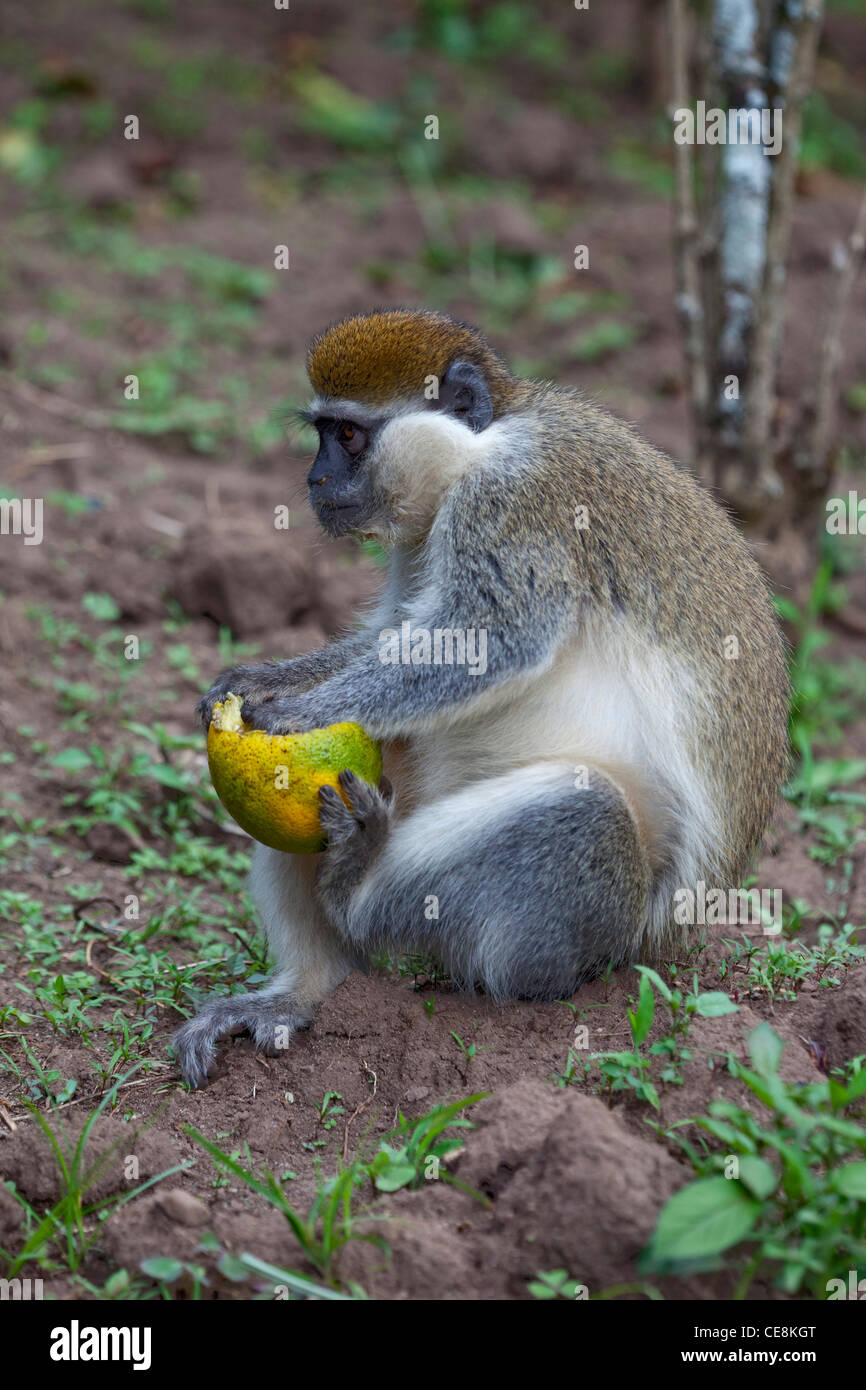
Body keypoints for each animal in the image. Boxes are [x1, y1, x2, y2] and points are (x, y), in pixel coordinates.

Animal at [172, 307, 789, 1088]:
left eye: (349, 435)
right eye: (321, 434)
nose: (315, 478)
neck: (475, 449)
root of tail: (654, 940)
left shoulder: (514, 503)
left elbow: (494, 640)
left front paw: (299, 711)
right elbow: (394, 630)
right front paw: (262, 681)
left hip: (591, 923)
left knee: (587, 810)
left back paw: (356, 881)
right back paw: (306, 991)